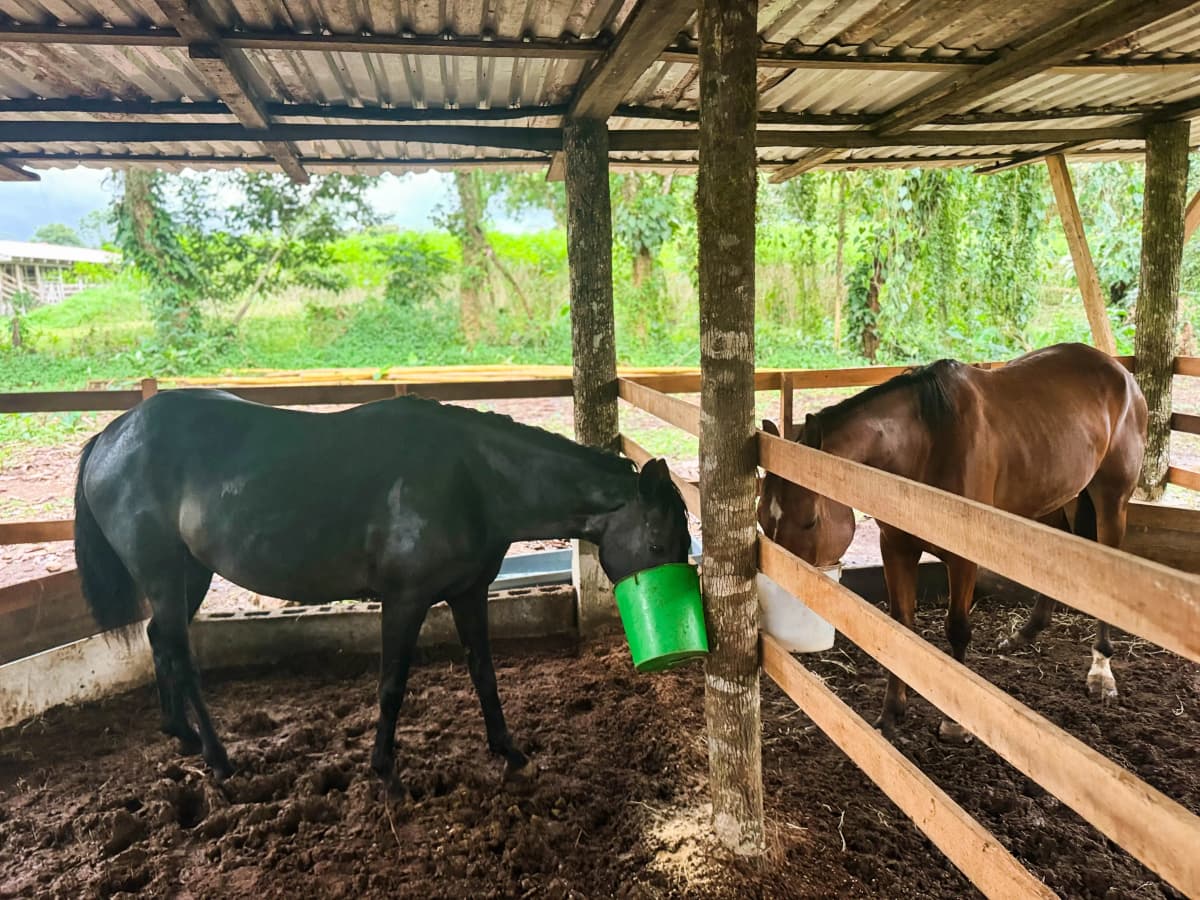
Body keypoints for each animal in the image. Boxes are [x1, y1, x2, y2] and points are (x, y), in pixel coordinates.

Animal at [74, 389, 692, 781]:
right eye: (658, 544)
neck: (473, 478)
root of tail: (111, 435)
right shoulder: (405, 600)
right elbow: (392, 685)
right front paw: (383, 767)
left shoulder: (469, 593)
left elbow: (485, 674)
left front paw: (509, 751)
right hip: (165, 573)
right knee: (179, 652)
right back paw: (220, 759)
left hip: (191, 573)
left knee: (160, 640)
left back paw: (180, 733)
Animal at [758, 342, 1147, 743]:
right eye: (762, 520)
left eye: (810, 521)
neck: (926, 444)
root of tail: (1118, 371)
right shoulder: (896, 547)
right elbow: (900, 627)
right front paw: (890, 714)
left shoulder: (962, 557)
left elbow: (957, 629)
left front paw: (955, 722)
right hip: (1048, 498)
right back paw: (1024, 634)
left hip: (1112, 500)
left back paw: (1101, 672)